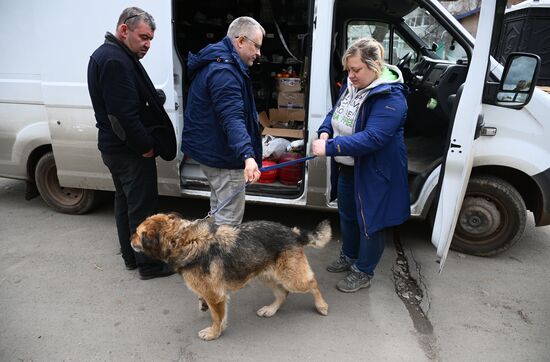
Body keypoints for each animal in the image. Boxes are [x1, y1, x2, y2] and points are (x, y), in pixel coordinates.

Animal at [132, 212, 334, 340]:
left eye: (137, 233)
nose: (129, 239)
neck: (181, 239)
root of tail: (292, 233)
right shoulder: (215, 295)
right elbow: (219, 315)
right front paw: (216, 326)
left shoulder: (214, 296)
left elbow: (216, 317)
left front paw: (213, 334)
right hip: (266, 275)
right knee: (283, 293)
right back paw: (271, 309)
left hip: (291, 277)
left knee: (313, 284)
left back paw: (321, 305)